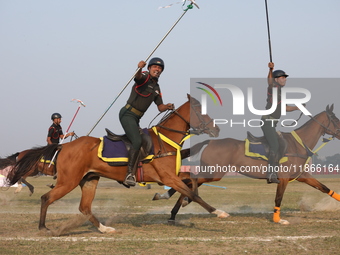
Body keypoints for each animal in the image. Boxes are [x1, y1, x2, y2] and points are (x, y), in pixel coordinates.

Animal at [6, 94, 228, 233]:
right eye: (201, 111)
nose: (217, 129)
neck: (165, 140)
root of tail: (64, 146)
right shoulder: (166, 176)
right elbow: (192, 192)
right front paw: (218, 212)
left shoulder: (171, 175)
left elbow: (191, 184)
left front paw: (175, 200)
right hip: (68, 181)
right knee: (46, 198)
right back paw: (43, 227)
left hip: (89, 180)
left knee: (84, 208)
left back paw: (104, 228)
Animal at [153, 104, 340, 224]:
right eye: (337, 120)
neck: (298, 144)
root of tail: (210, 141)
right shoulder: (284, 179)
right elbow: (278, 198)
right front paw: (278, 220)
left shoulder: (302, 176)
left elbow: (324, 188)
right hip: (214, 173)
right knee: (189, 180)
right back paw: (176, 202)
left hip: (212, 172)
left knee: (187, 182)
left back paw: (174, 210)